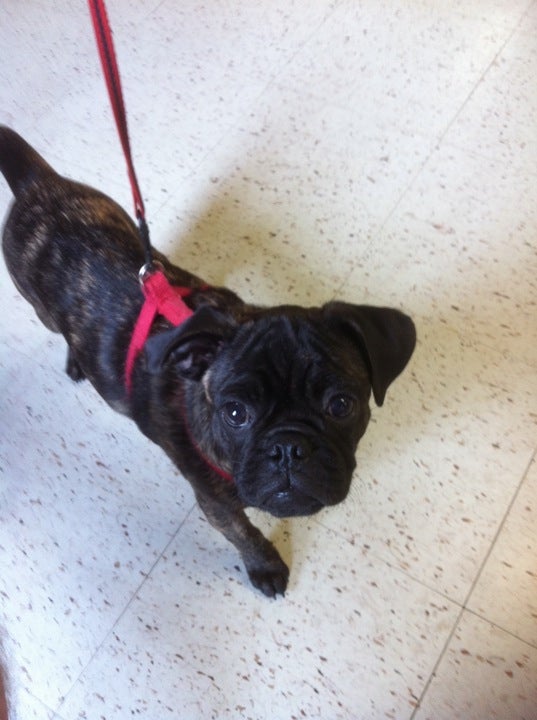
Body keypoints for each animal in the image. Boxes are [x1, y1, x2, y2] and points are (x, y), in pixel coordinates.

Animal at [0, 126, 416, 597]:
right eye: (235, 414)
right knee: (59, 328)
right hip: (41, 308)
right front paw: (265, 566)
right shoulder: (216, 503)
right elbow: (244, 532)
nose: (288, 448)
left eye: (342, 405)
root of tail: (37, 183)